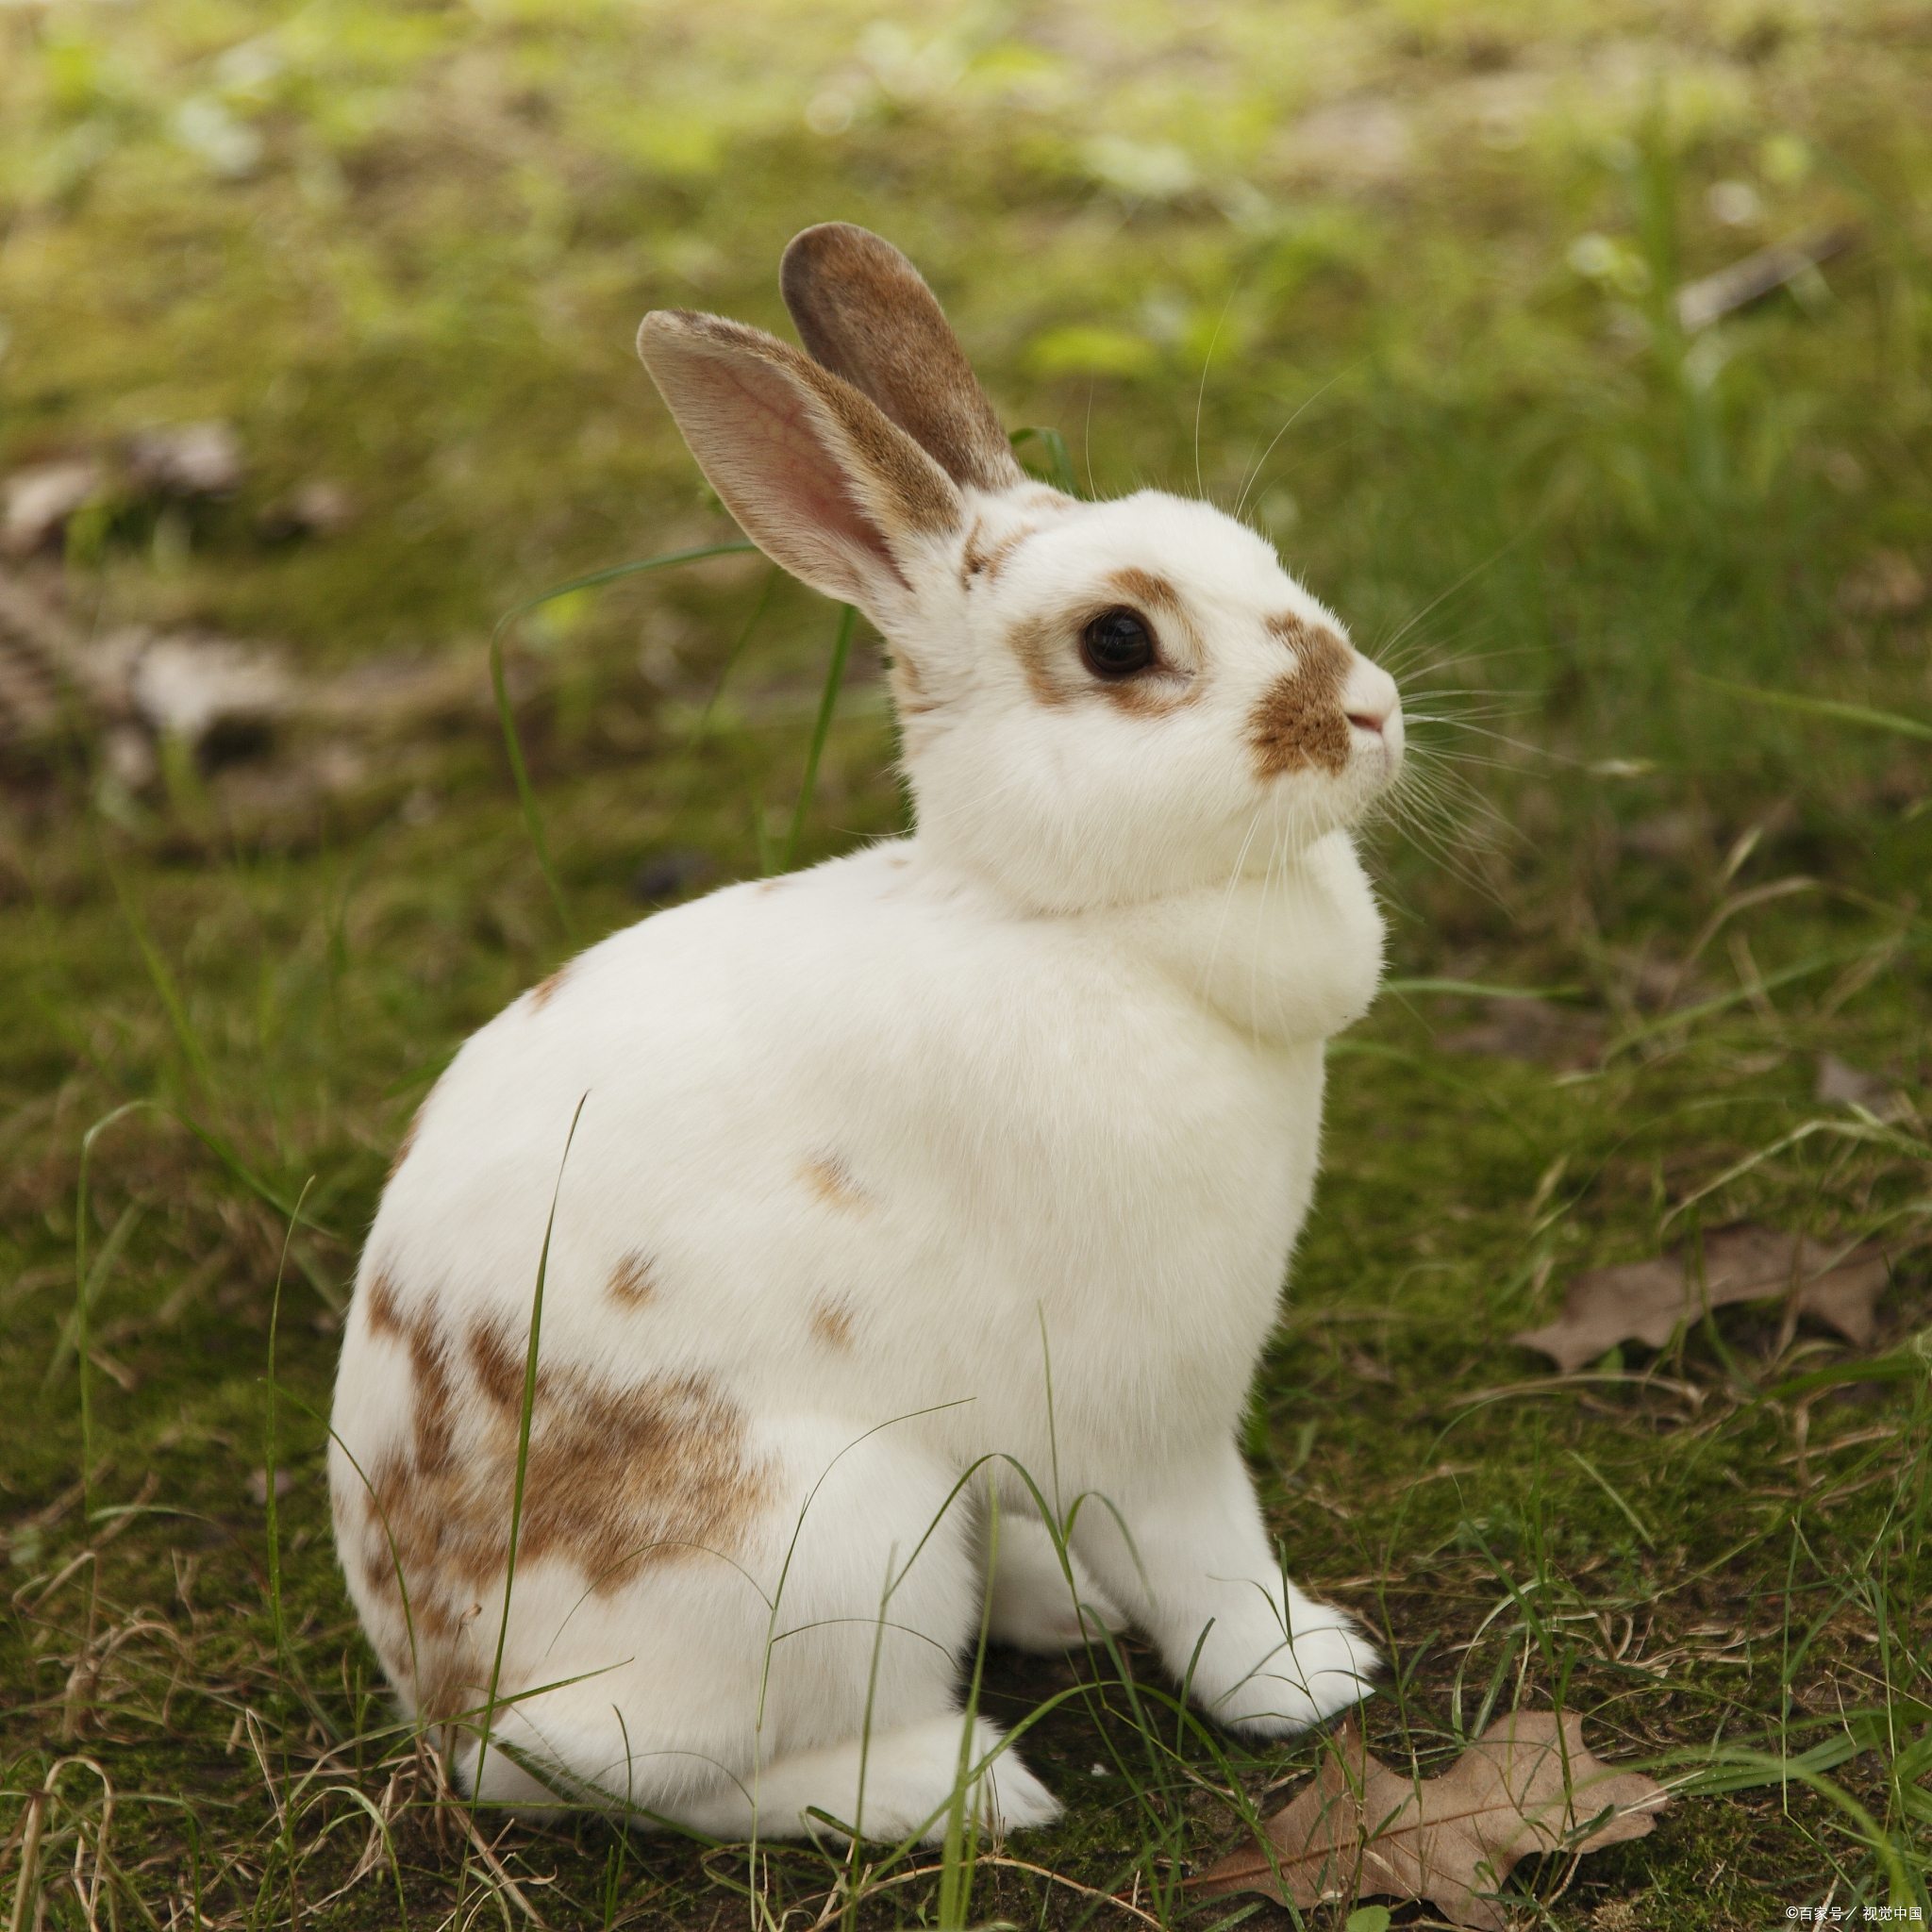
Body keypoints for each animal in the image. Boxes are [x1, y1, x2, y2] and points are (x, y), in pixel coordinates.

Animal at [325, 219, 1398, 1846]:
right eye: (1120, 640)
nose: (1375, 711)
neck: (1062, 918)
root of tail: (437, 1691)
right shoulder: (1152, 1403)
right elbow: (1209, 1550)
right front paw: (1308, 1677)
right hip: (832, 1544)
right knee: (634, 1767)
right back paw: (950, 1784)